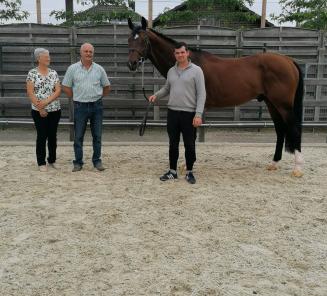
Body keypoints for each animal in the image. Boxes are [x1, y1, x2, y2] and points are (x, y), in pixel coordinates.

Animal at [127, 17, 304, 177]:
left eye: (143, 40)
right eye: (129, 39)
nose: (132, 64)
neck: (189, 63)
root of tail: (289, 61)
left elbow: (191, 136)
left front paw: (186, 164)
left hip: (283, 105)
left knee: (293, 129)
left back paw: (297, 169)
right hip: (271, 104)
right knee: (280, 130)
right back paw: (273, 163)